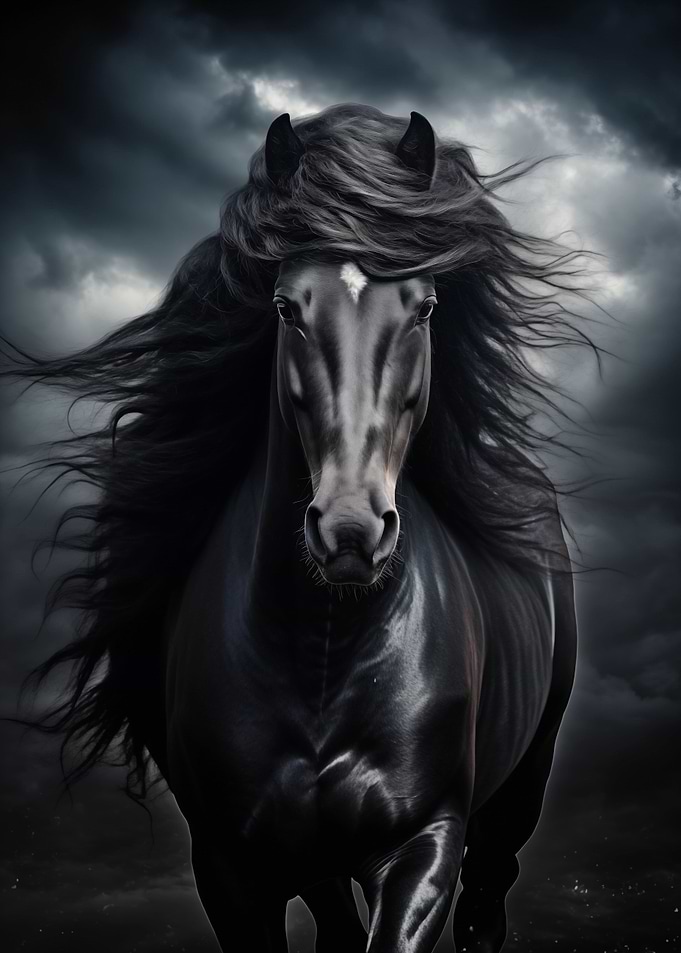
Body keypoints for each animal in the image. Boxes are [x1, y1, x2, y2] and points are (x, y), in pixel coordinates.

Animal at [6, 104, 584, 952]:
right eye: (286, 306)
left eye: (424, 307)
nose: (348, 532)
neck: (321, 648)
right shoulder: (232, 868)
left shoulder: (423, 845)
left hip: (518, 790)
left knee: (486, 904)